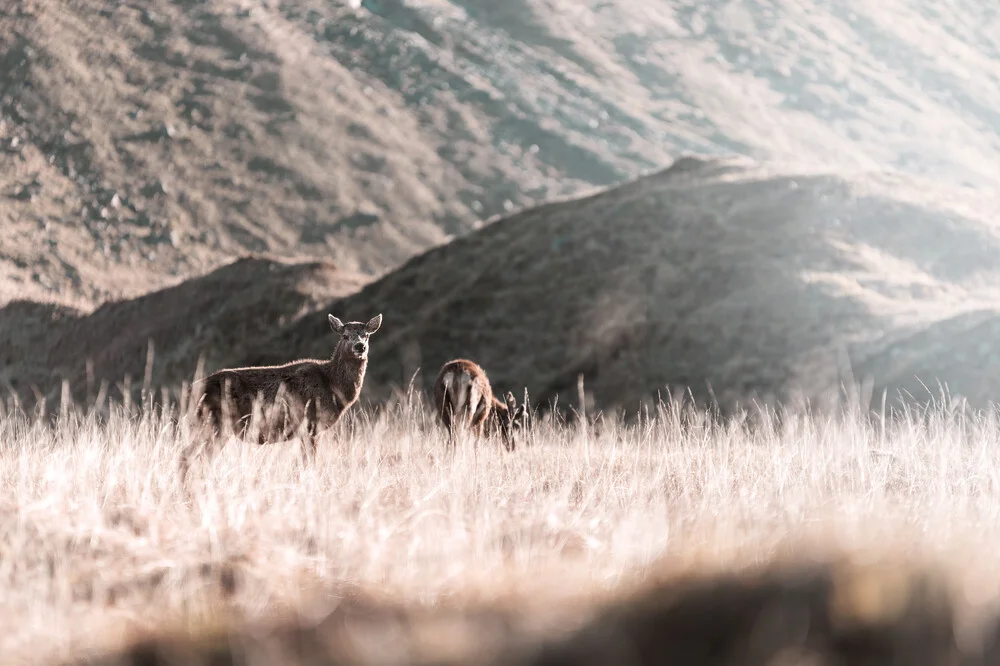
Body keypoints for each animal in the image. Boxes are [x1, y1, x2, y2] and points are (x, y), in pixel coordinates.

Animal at [182, 312, 380, 472]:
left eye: (367, 335)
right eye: (345, 336)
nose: (360, 346)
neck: (332, 386)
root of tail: (190, 391)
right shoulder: (310, 424)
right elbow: (310, 463)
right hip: (213, 423)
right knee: (191, 457)